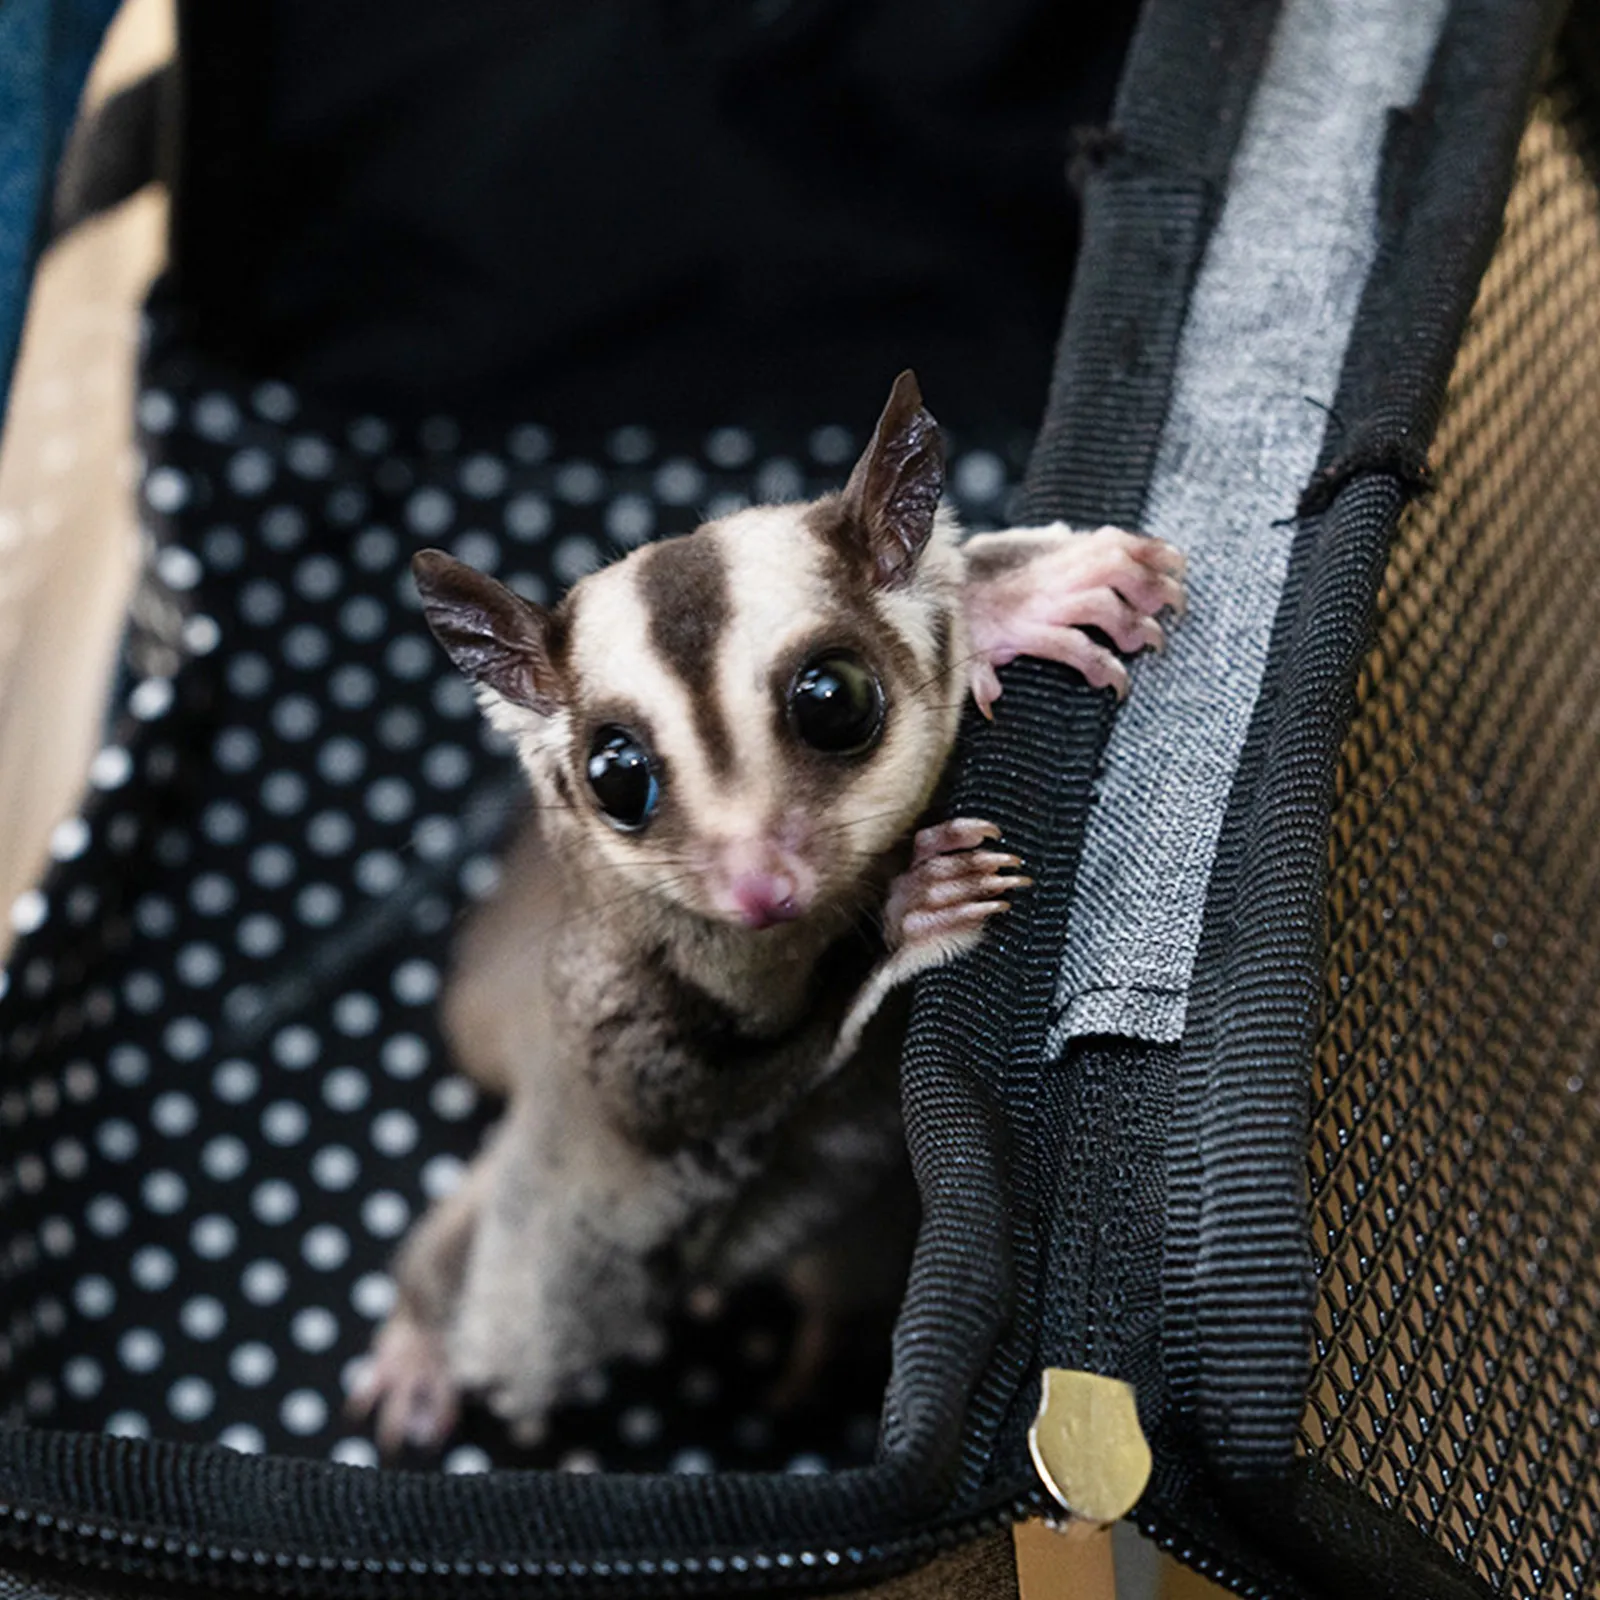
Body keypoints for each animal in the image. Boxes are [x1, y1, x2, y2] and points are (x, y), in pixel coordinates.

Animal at [349, 371, 1184, 1453]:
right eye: (616, 778)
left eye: (834, 701)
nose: (757, 884)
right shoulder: (611, 988)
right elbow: (674, 1097)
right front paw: (913, 914)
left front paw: (1014, 596)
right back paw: (418, 1343)